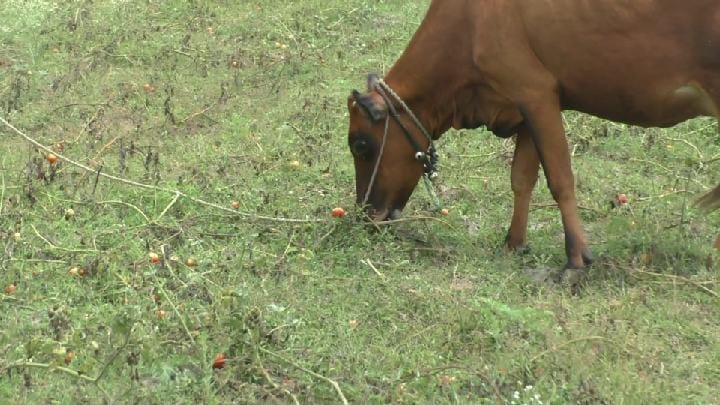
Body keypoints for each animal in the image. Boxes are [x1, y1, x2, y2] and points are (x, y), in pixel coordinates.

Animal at [346, 0, 716, 274]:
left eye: (360, 144)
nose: (366, 216)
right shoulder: (523, 110)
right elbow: (522, 179)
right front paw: (515, 243)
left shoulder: (537, 93)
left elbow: (560, 179)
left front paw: (576, 258)